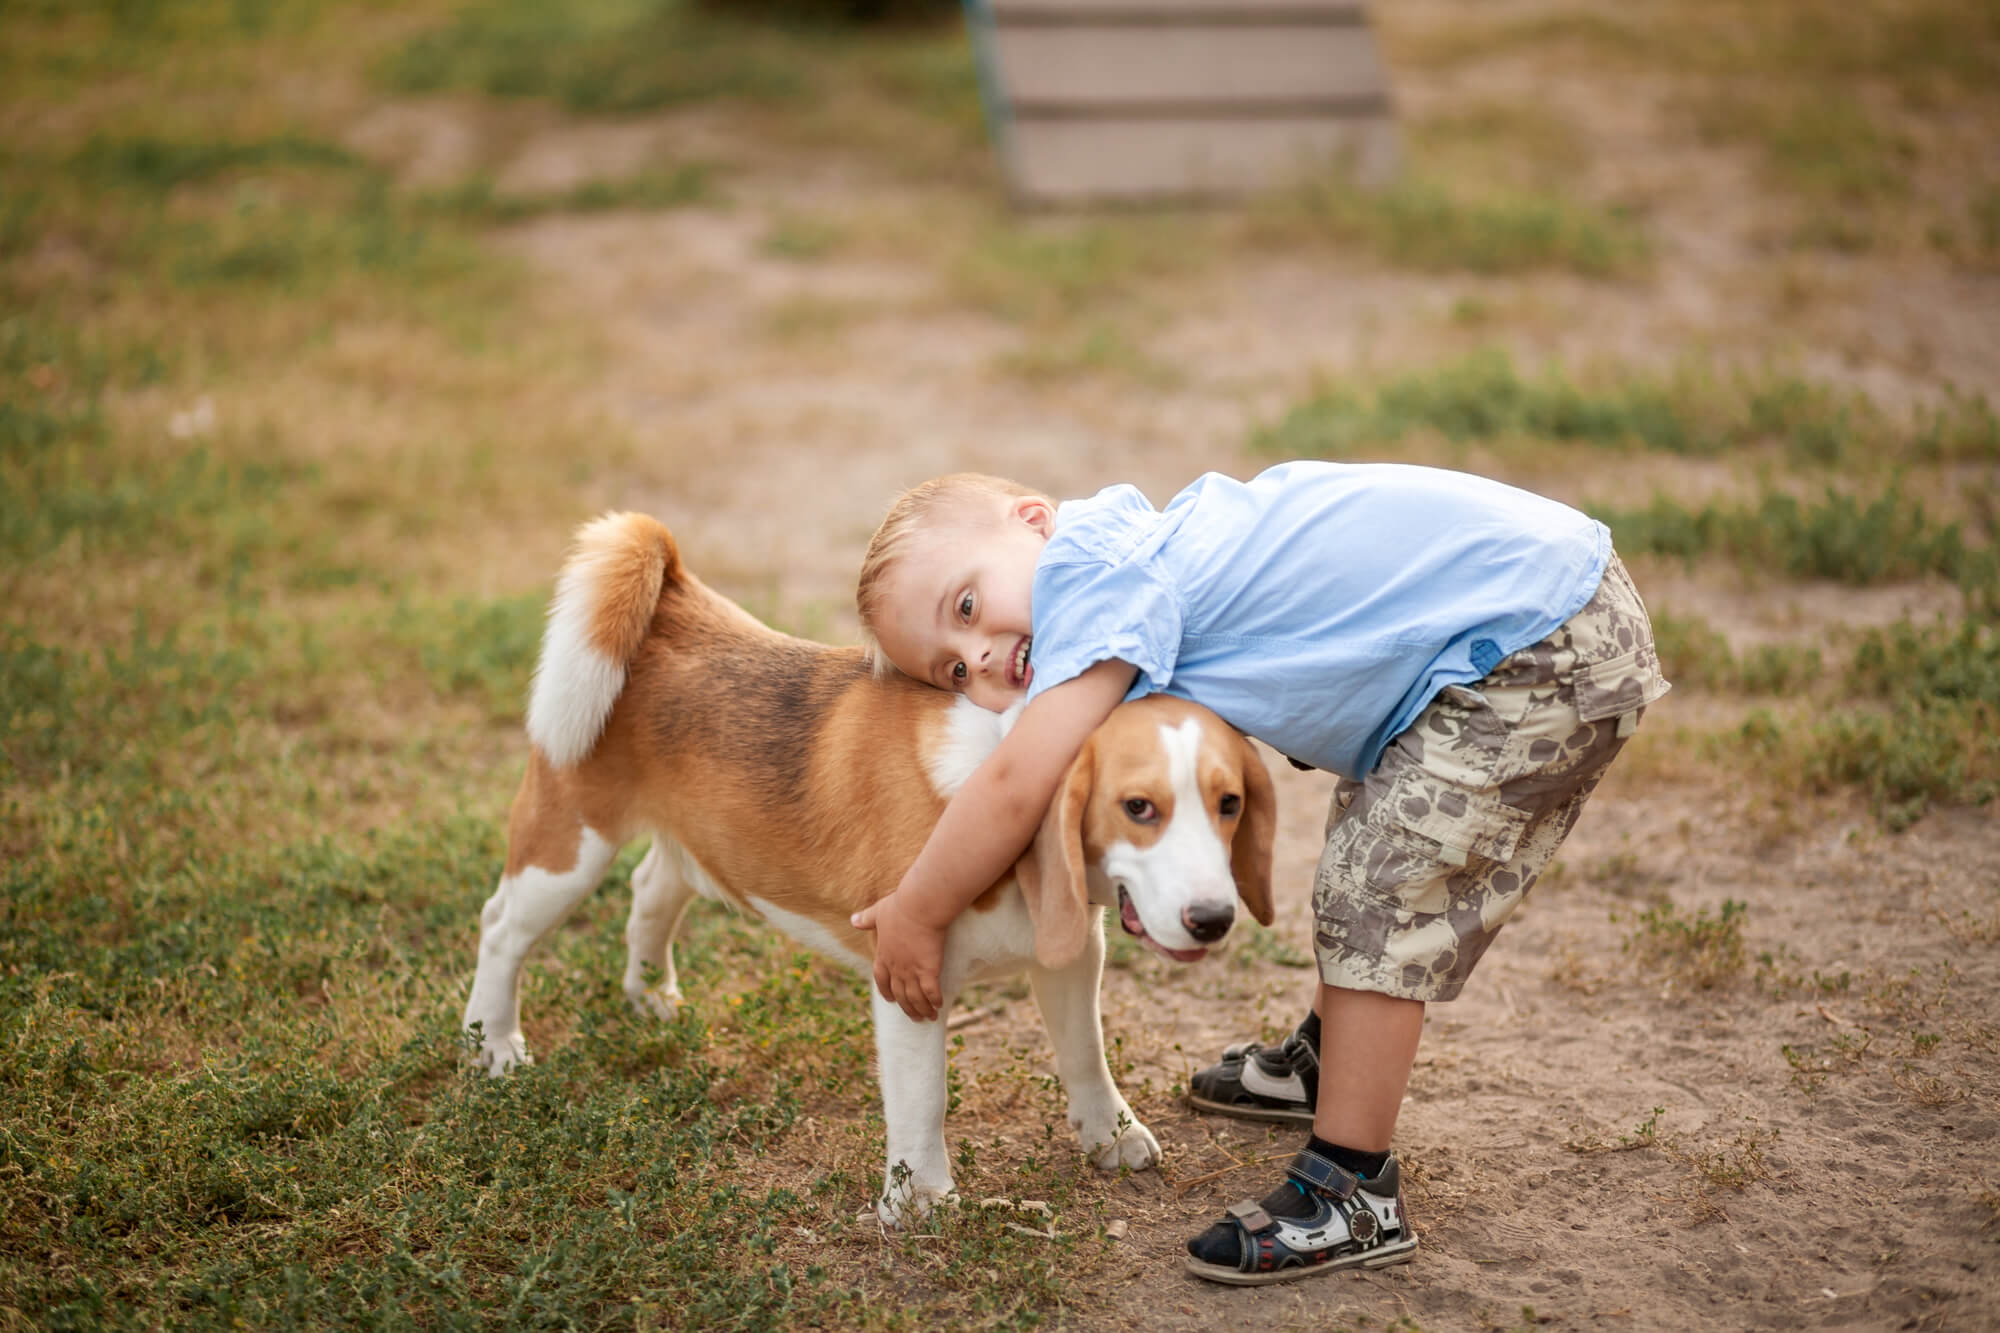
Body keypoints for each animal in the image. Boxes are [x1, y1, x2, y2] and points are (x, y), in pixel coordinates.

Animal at [460, 508, 1272, 1216]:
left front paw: (1111, 1136)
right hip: (568, 848)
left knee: (653, 885)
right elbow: (924, 1100)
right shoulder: (909, 979)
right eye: (1139, 808)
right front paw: (923, 1204)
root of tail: (672, 604)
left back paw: (650, 992)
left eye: (1228, 803)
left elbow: (1086, 1055)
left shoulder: (1070, 958)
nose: (1213, 919)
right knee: (501, 927)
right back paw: (492, 1044)